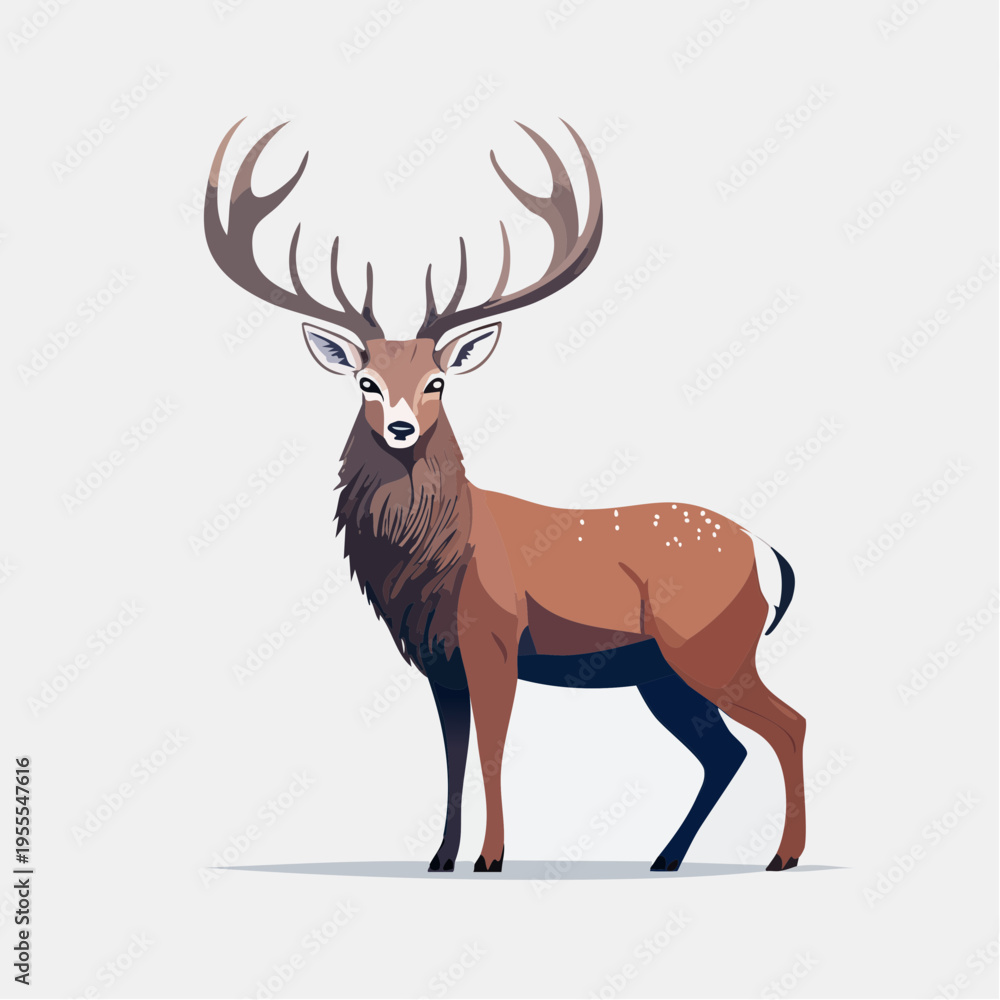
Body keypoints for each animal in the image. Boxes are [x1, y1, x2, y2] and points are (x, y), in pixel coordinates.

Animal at [204, 118, 807, 875]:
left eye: (437, 381)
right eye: (366, 381)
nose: (401, 426)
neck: (440, 558)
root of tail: (770, 555)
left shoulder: (492, 635)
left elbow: (491, 749)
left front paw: (490, 858)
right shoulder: (438, 662)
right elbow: (453, 758)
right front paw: (441, 857)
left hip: (710, 643)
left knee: (788, 724)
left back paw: (782, 856)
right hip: (662, 671)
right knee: (724, 751)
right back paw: (667, 857)